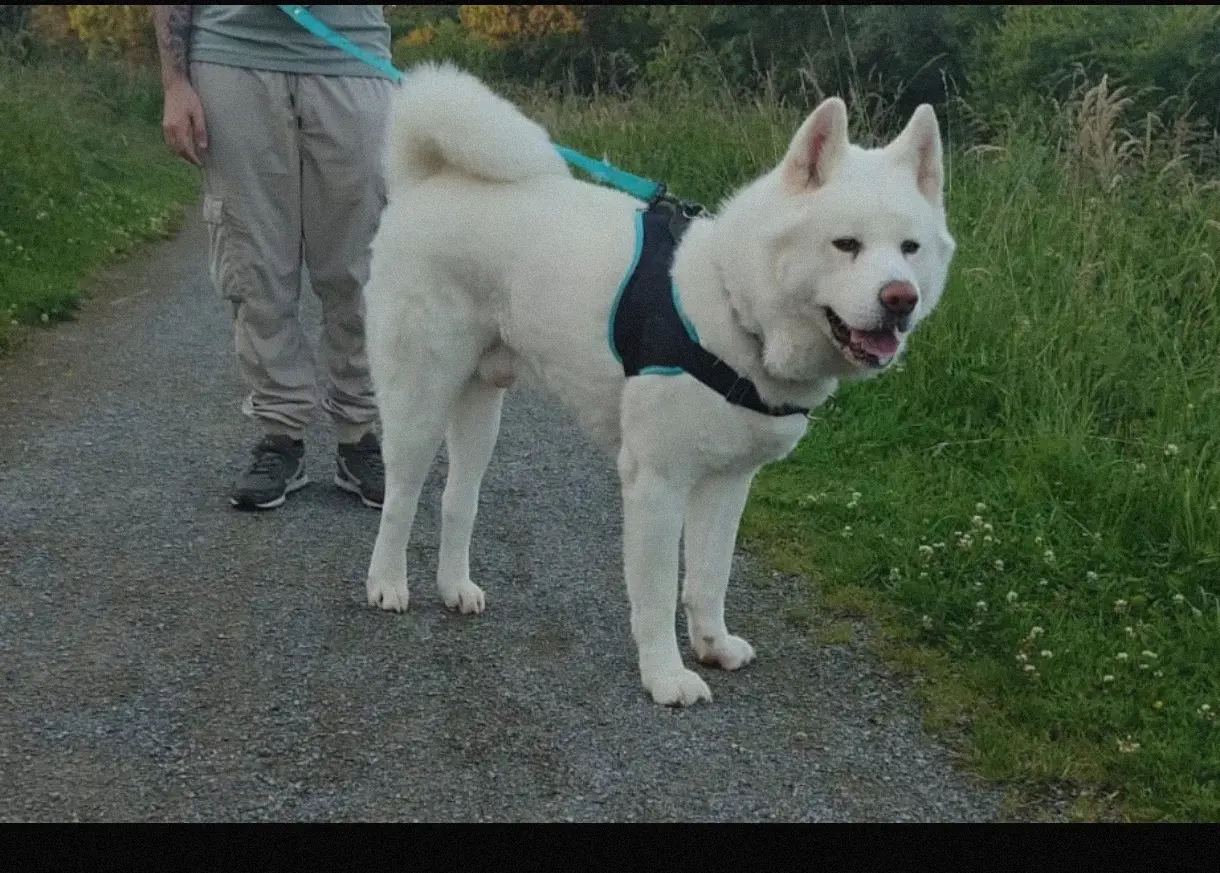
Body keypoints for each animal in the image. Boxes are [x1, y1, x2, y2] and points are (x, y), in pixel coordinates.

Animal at [361, 64, 951, 707]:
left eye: (910, 249)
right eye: (846, 244)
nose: (900, 299)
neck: (734, 305)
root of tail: (429, 182)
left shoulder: (728, 483)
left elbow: (709, 578)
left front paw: (713, 645)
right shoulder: (658, 484)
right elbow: (660, 593)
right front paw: (666, 676)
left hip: (481, 406)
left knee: (457, 499)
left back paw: (455, 587)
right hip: (419, 398)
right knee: (403, 495)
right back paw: (387, 583)